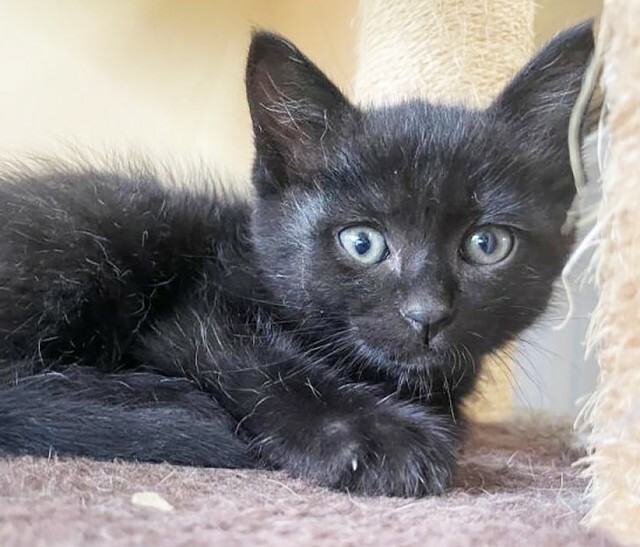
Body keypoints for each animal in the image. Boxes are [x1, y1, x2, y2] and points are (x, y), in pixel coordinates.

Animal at [0, 23, 592, 498]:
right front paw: (379, 437)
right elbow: (267, 363)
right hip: (98, 228)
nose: (427, 314)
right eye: (362, 243)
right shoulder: (193, 317)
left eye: (486, 244)